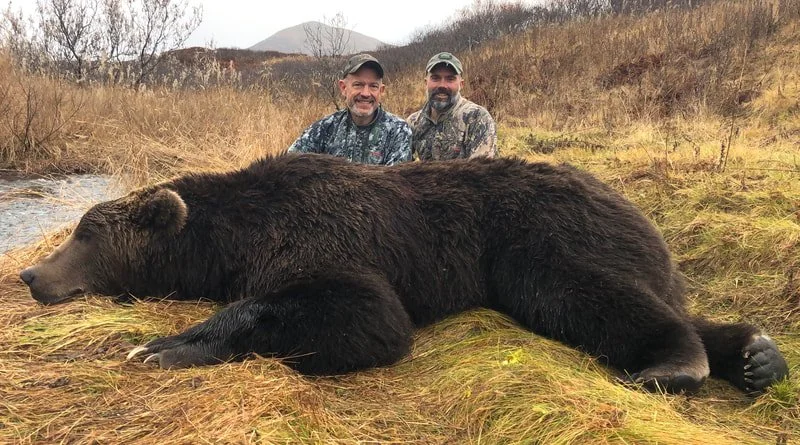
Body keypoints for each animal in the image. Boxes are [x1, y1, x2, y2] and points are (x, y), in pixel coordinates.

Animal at [19, 153, 788, 394]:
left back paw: (674, 364)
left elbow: (364, 313)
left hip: (536, 235)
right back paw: (755, 354)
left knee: (580, 290)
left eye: (86, 231)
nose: (29, 273)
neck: (234, 233)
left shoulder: (326, 235)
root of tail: (635, 207)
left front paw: (161, 345)